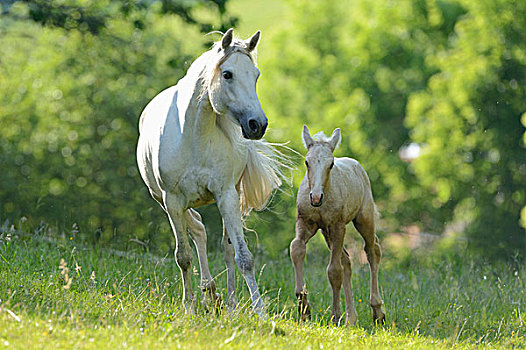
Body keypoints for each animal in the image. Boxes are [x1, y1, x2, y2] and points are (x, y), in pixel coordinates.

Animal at [136, 28, 286, 316]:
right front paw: (189, 308)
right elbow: (183, 256)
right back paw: (208, 293)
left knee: (222, 246)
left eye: (256, 75)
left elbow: (243, 257)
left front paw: (260, 312)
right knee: (197, 230)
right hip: (164, 201)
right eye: (227, 74)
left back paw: (226, 302)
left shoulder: (226, 195)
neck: (193, 136)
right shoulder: (172, 200)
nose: (258, 125)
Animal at [290, 126, 386, 326]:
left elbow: (334, 271)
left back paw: (377, 311)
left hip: (363, 219)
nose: (315, 197)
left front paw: (335, 316)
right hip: (327, 233)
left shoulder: (337, 227)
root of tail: (357, 166)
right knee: (347, 260)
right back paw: (352, 317)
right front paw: (304, 310)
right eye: (307, 162)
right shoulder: (305, 223)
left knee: (372, 250)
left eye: (331, 164)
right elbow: (296, 248)